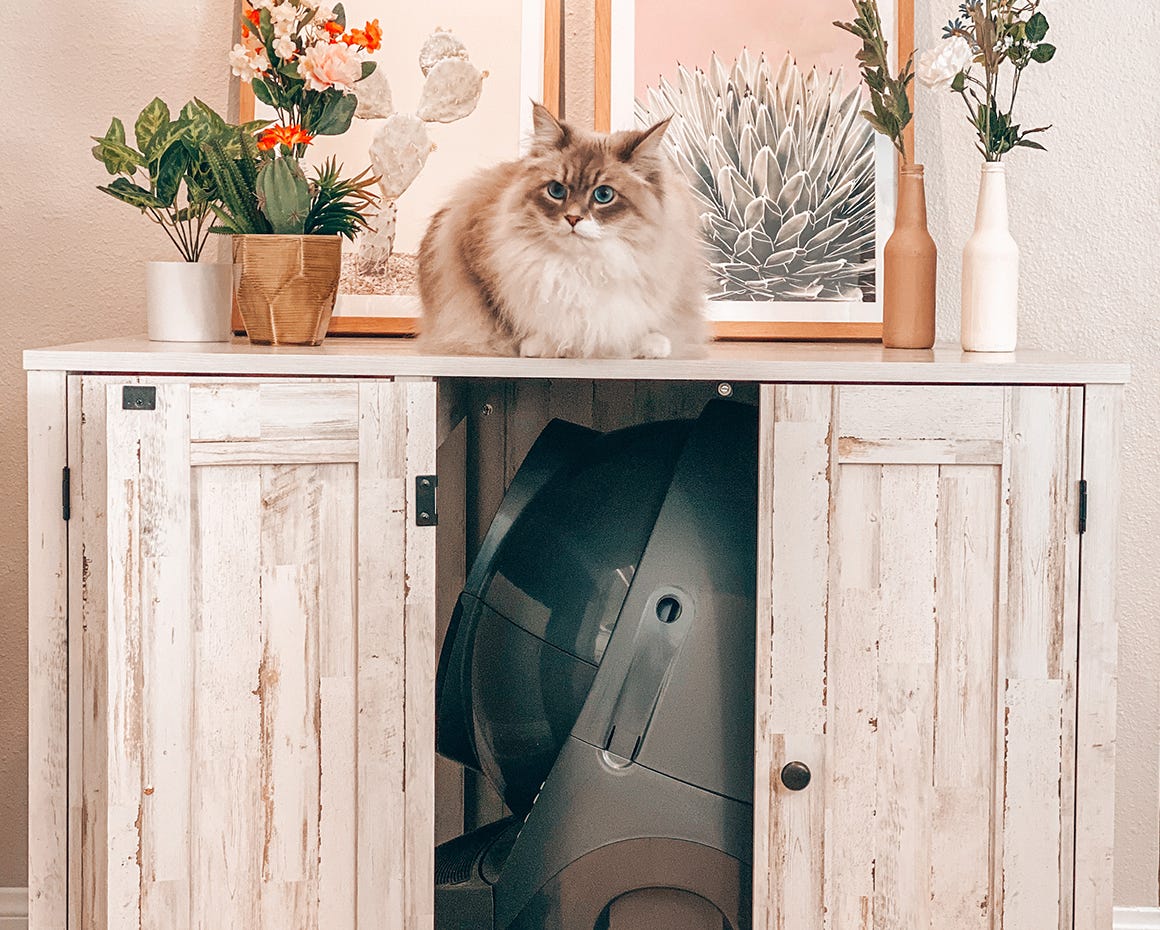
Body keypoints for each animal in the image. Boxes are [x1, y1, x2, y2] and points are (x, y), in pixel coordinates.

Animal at [417, 104, 707, 358]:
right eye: (556, 190)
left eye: (604, 195)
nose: (573, 218)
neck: (581, 266)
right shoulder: (476, 262)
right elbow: (507, 320)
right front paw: (540, 345)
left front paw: (651, 345)